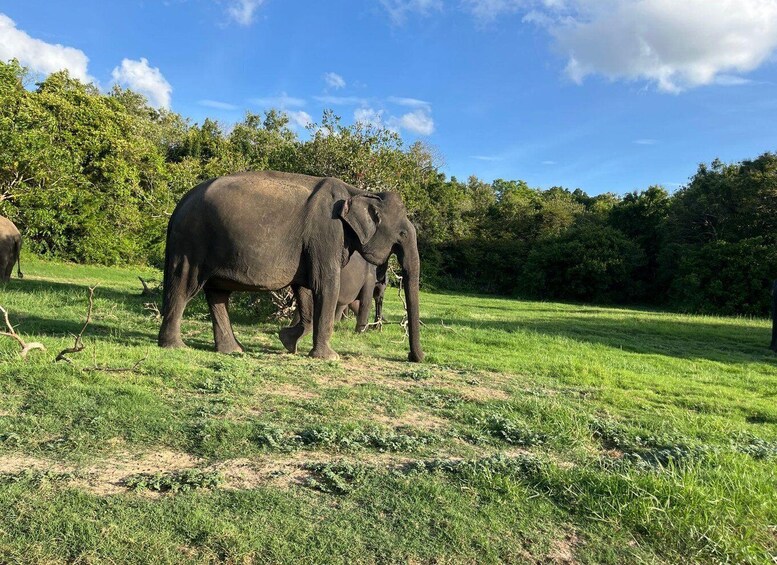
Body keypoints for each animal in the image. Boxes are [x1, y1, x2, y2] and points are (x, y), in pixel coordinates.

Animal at [157, 171, 424, 362]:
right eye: (402, 234)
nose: (414, 357)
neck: (358, 192)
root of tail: (179, 205)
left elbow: (305, 288)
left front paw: (287, 341)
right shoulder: (326, 233)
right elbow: (326, 285)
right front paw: (329, 358)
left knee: (217, 293)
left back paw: (233, 350)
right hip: (191, 242)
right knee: (184, 286)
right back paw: (175, 346)